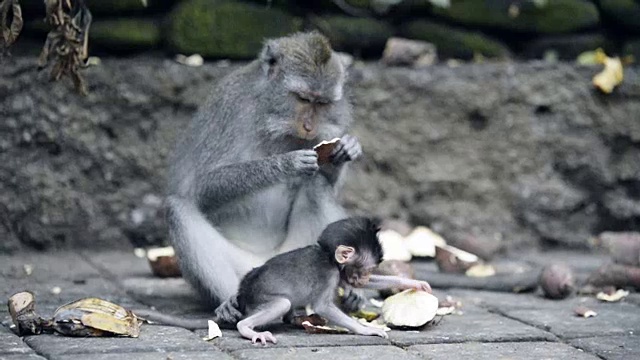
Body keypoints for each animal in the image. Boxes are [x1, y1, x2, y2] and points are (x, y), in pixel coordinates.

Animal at [168, 31, 362, 320]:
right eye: (303, 99)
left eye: (322, 103)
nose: (309, 126)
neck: (274, 119)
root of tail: (265, 260)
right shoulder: (231, 109)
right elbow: (203, 188)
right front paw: (285, 163)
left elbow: (327, 179)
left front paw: (345, 149)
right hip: (245, 269)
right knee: (177, 210)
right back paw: (230, 302)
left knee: (317, 187)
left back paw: (348, 293)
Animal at [234, 218, 430, 344]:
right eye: (366, 270)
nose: (365, 276)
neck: (328, 256)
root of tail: (243, 291)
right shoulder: (329, 274)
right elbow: (322, 305)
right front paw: (366, 329)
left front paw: (413, 283)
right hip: (259, 298)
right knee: (282, 303)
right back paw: (245, 327)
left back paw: (298, 320)